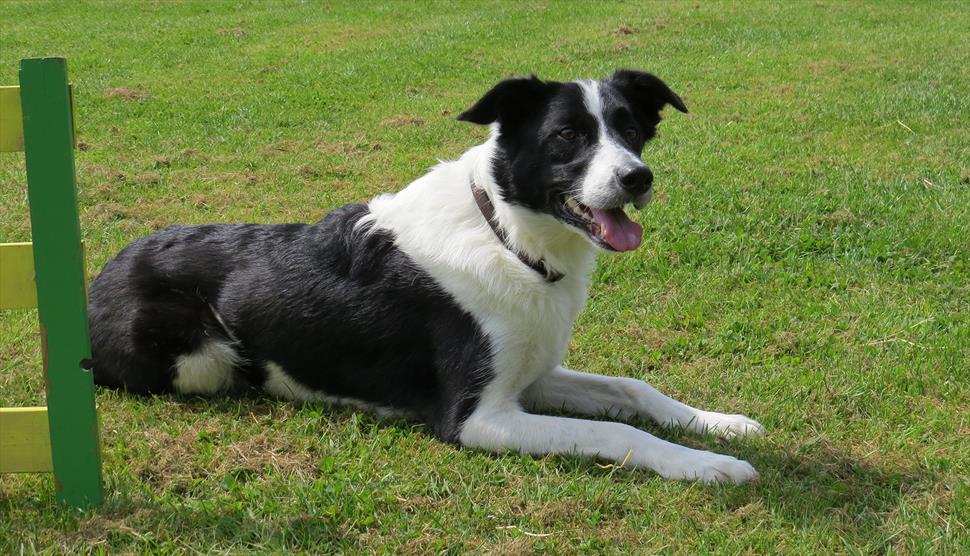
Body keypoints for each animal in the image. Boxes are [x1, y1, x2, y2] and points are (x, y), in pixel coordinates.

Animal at [87, 71, 760, 484]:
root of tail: (96, 279)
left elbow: (632, 389)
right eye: (568, 135)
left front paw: (718, 426)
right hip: (202, 358)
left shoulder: (533, 376)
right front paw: (706, 466)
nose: (637, 177)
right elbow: (616, 432)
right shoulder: (479, 418)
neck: (507, 235)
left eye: (632, 130)